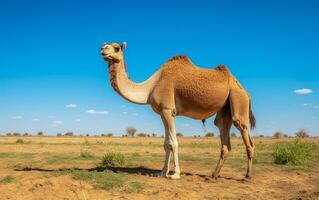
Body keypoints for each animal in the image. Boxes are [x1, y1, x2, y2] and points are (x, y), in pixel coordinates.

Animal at [101, 41, 256, 180]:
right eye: (105, 45)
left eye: (116, 48)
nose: (103, 49)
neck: (150, 87)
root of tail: (246, 92)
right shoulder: (162, 112)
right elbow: (166, 144)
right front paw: (162, 173)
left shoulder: (168, 109)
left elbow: (173, 142)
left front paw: (175, 174)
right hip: (225, 109)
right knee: (224, 136)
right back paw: (213, 175)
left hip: (238, 100)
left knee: (246, 135)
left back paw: (247, 176)